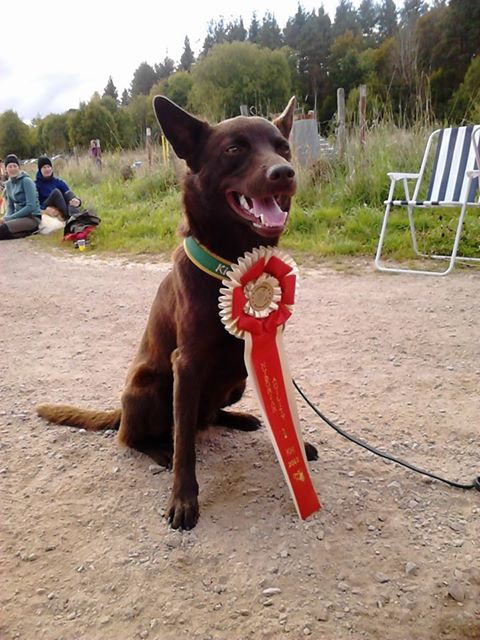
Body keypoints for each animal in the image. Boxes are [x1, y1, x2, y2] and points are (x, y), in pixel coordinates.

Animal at [37, 96, 317, 530]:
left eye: (282, 147)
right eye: (234, 149)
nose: (284, 173)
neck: (231, 263)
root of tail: (120, 411)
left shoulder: (267, 348)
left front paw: (299, 447)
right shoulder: (186, 364)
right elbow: (185, 442)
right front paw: (183, 499)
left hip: (236, 381)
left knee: (207, 417)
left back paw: (240, 420)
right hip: (150, 387)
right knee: (137, 438)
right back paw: (160, 452)